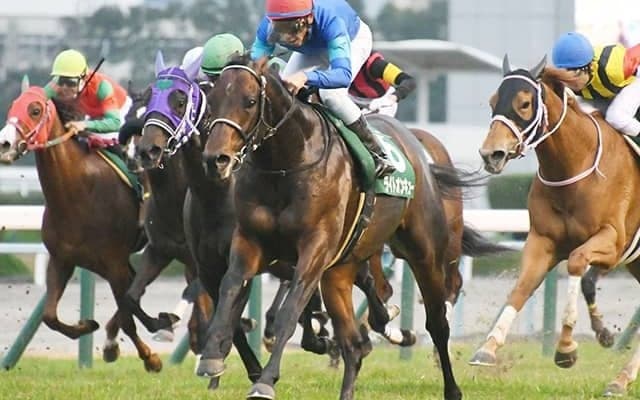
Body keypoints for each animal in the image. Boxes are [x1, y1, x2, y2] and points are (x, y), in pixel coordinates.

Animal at [0, 82, 162, 371]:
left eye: (35, 109)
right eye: (12, 106)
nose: (4, 143)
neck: (77, 194)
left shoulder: (114, 263)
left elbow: (129, 316)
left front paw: (150, 357)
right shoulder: (61, 260)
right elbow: (50, 316)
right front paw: (88, 325)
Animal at [197, 56, 464, 400]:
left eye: (250, 101)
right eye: (213, 101)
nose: (215, 159)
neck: (286, 162)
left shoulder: (315, 248)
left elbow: (289, 312)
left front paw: (265, 381)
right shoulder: (249, 241)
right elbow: (229, 289)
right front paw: (211, 358)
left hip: (425, 253)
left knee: (437, 324)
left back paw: (451, 387)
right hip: (339, 271)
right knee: (353, 345)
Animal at [469, 55, 640, 397]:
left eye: (524, 103)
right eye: (493, 101)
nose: (490, 154)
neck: (574, 168)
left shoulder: (613, 241)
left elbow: (576, 265)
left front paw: (566, 348)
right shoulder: (542, 241)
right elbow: (522, 287)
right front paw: (488, 347)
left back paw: (621, 378)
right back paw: (621, 378)